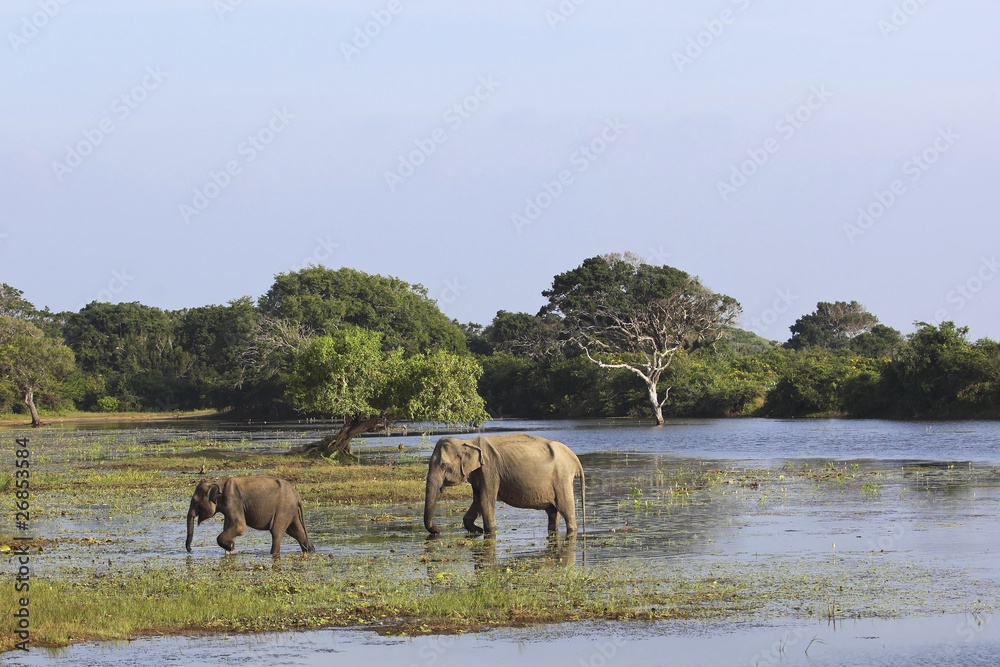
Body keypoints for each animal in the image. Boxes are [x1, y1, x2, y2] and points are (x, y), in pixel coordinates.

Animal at [185, 476, 315, 555]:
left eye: (195, 501)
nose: (191, 551)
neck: (217, 482)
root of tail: (298, 497)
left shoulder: (233, 501)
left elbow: (240, 527)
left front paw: (230, 546)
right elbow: (229, 526)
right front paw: (231, 548)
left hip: (283, 509)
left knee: (276, 532)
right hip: (290, 511)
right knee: (297, 531)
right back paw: (310, 550)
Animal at [423, 433, 586, 536]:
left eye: (443, 465)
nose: (437, 529)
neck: (467, 441)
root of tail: (574, 458)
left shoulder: (490, 470)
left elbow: (485, 501)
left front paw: (488, 530)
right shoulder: (479, 474)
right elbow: (477, 500)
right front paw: (477, 529)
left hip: (562, 478)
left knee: (566, 510)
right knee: (552, 512)